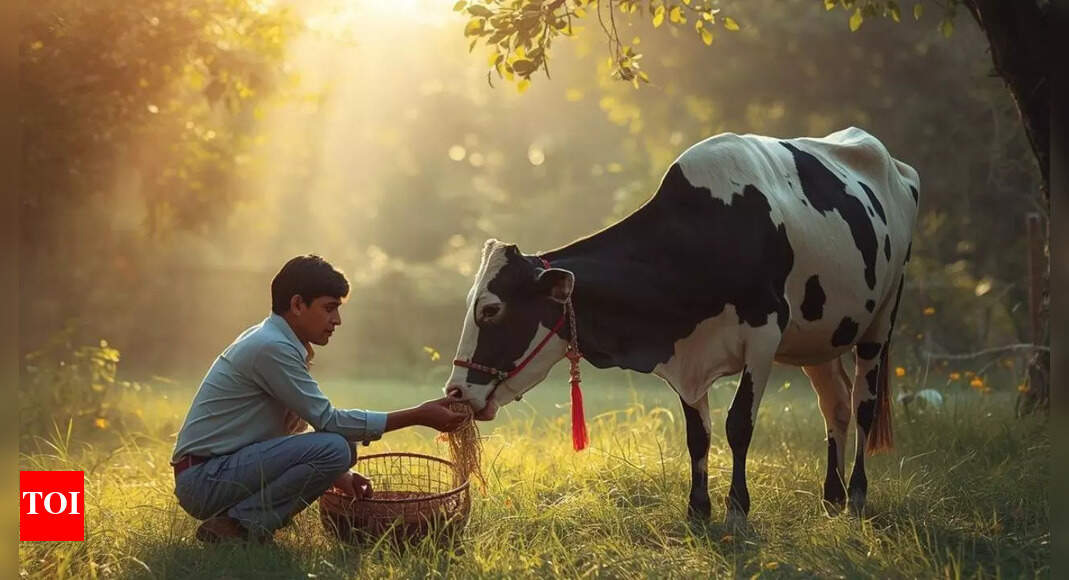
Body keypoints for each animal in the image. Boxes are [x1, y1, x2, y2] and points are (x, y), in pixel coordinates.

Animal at [444, 127, 919, 525]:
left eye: (491, 310)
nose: (456, 392)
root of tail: (896, 164)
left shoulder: (763, 333)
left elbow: (738, 424)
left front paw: (736, 510)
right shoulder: (687, 358)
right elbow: (698, 434)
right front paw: (697, 509)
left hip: (882, 317)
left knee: (862, 404)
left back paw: (856, 495)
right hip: (819, 338)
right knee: (834, 405)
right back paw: (832, 496)